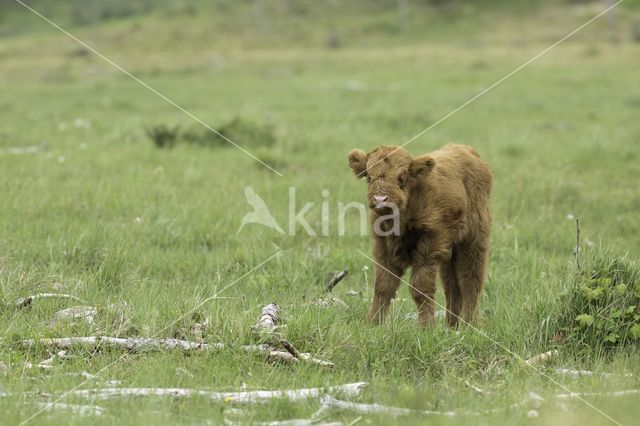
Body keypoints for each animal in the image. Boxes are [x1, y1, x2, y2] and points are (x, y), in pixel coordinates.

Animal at [348, 143, 492, 326]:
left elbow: (420, 287)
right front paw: (373, 323)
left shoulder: (431, 245)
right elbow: (383, 286)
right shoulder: (382, 247)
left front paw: (427, 326)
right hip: (451, 251)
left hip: (474, 241)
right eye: (369, 177)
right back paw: (452, 326)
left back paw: (470, 323)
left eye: (401, 177)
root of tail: (465, 150)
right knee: (452, 286)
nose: (380, 199)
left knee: (471, 280)